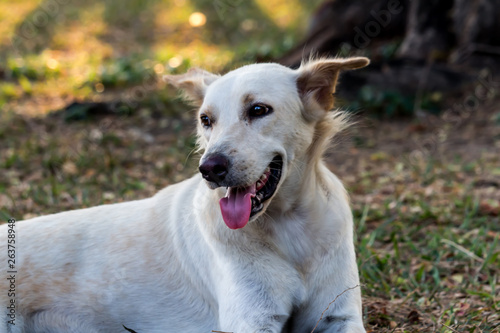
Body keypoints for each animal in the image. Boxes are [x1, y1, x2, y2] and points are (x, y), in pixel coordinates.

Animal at [0, 55, 372, 330]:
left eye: (258, 110)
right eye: (206, 120)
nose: (210, 169)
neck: (288, 225)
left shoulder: (339, 315)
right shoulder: (252, 320)